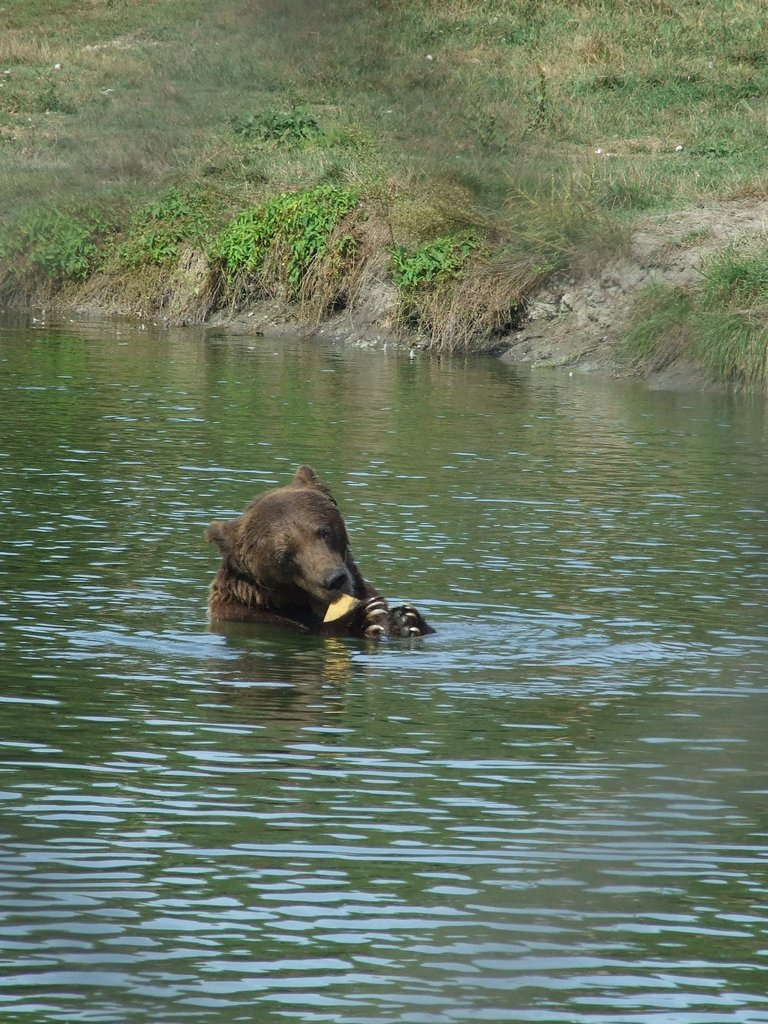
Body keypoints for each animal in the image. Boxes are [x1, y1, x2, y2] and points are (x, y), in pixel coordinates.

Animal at [204, 466, 434, 638]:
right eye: (285, 556)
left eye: (324, 531)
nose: (335, 579)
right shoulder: (259, 617)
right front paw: (363, 619)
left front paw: (406, 619)